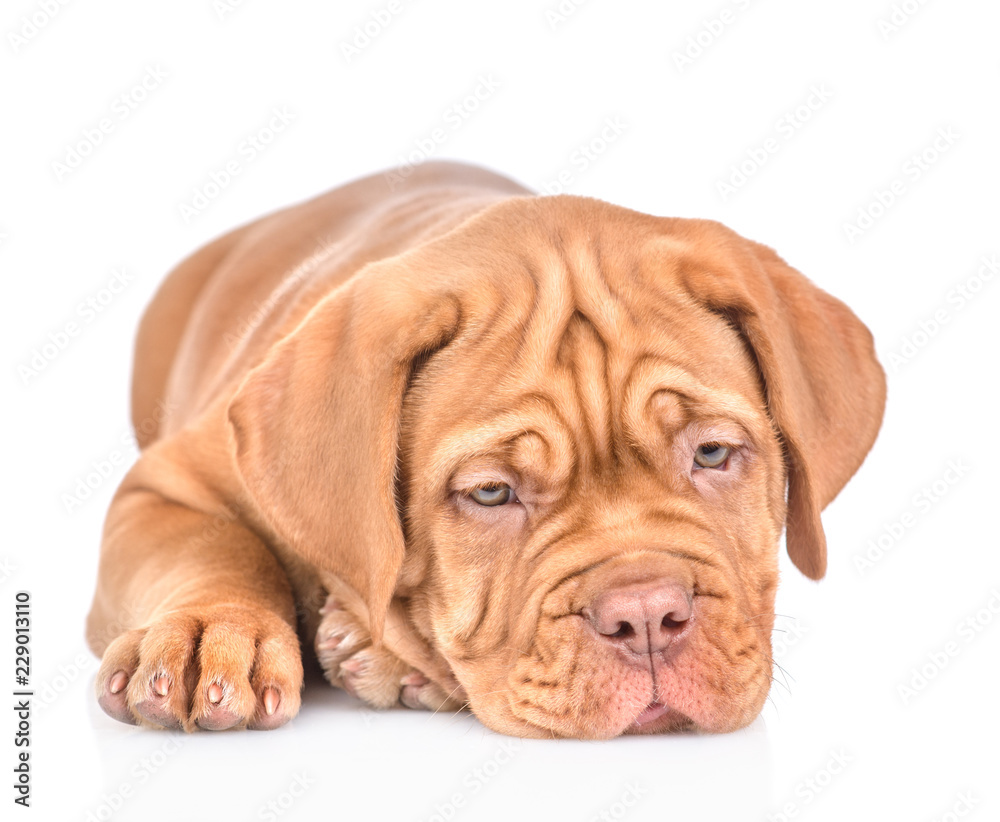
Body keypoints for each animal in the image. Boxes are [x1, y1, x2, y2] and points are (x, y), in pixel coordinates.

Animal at [86, 163, 884, 740]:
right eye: (492, 493)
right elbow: (212, 546)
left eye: (713, 454)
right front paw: (209, 632)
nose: (647, 618)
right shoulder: (165, 484)